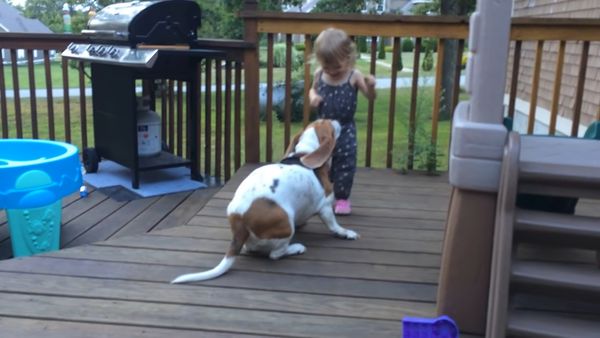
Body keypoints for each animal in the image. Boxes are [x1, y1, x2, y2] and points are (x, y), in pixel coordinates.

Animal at [171, 119, 358, 282]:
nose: (338, 120)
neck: (304, 152)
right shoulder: (325, 206)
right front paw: (345, 233)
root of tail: (240, 220)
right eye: (328, 123)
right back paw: (296, 248)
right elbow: (334, 225)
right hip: (286, 225)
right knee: (275, 254)